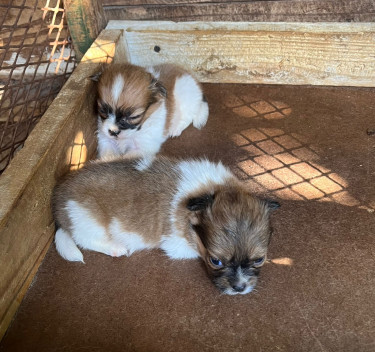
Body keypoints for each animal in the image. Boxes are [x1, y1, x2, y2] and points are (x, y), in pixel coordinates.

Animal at [52, 157, 280, 294]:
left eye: (259, 259)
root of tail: (59, 209)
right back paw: (115, 248)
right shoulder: (176, 245)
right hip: (87, 218)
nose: (240, 288)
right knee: (84, 239)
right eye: (215, 261)